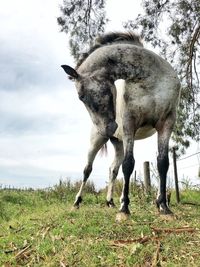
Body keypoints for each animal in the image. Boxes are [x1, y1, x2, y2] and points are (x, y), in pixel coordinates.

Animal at [61, 31, 180, 220]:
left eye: (81, 96)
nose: (108, 129)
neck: (152, 79)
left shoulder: (166, 124)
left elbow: (163, 163)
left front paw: (164, 207)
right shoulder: (130, 123)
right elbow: (129, 164)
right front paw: (124, 210)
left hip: (119, 144)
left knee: (113, 170)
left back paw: (110, 202)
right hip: (97, 141)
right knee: (88, 169)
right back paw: (77, 203)